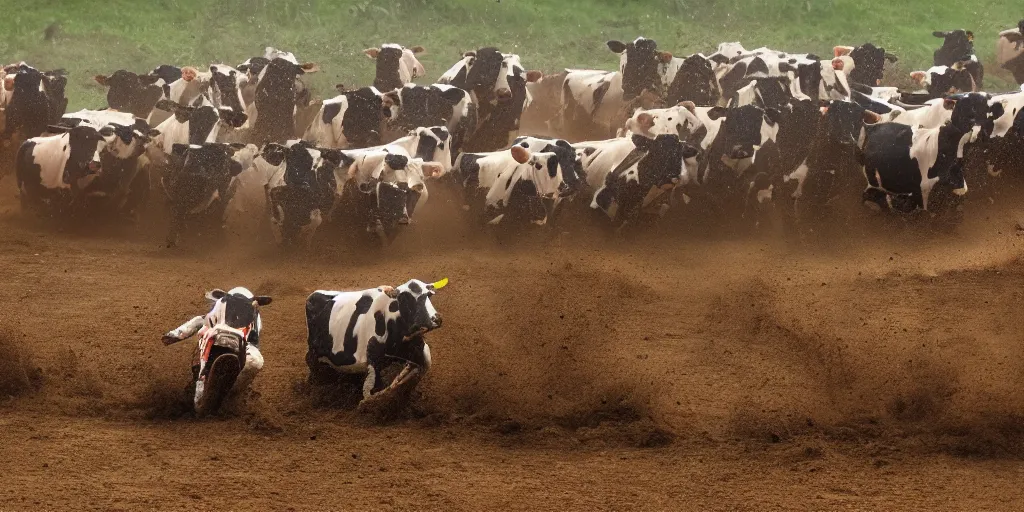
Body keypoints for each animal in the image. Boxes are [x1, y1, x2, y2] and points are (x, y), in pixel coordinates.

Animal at [303, 278, 448, 401]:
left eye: (429, 295)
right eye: (406, 299)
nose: (436, 319)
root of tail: (313, 295)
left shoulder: (417, 350)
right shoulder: (373, 359)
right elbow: (373, 393)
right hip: (314, 353)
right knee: (312, 365)